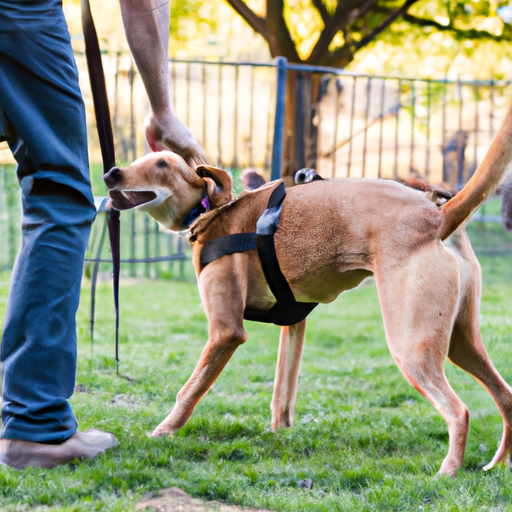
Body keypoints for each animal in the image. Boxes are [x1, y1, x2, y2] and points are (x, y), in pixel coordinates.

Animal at [102, 110, 512, 478]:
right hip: (461, 341)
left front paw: (161, 432)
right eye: (138, 160)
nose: (111, 172)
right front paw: (280, 435)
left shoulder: (225, 332)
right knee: (506, 397)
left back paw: (448, 471)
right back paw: (497, 465)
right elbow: (281, 394)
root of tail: (438, 216)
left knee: (459, 410)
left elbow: (188, 391)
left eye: (161, 164)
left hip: (412, 348)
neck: (213, 212)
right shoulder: (294, 324)